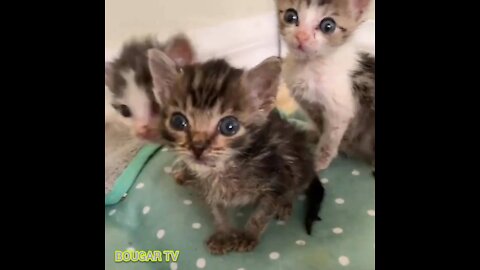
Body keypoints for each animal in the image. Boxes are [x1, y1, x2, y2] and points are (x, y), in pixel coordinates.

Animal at [148, 49, 324, 254]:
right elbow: (217, 210)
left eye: (229, 126)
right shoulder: (208, 188)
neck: (225, 169)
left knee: (297, 185)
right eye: (178, 122)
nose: (197, 147)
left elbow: (262, 213)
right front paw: (224, 233)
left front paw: (248, 234)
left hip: (299, 161)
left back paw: (285, 204)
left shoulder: (278, 178)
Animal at [274, 0, 376, 172]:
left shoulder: (339, 111)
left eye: (328, 26)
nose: (301, 36)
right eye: (290, 16)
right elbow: (319, 124)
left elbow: (329, 140)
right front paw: (313, 134)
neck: (309, 67)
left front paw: (319, 162)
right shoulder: (308, 103)